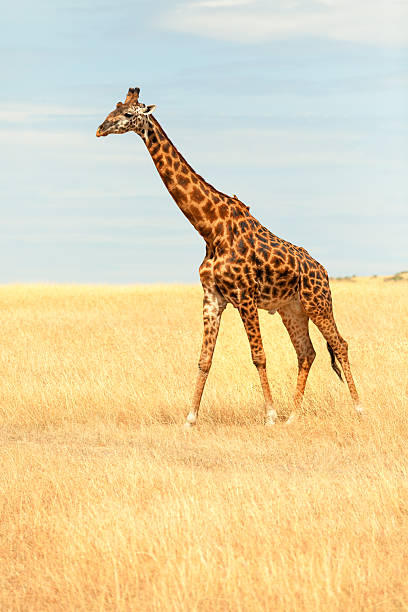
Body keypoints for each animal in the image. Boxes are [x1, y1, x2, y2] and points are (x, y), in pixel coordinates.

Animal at [95, 87, 360, 426]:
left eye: (129, 114)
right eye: (114, 107)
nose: (100, 128)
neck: (210, 229)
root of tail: (323, 271)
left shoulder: (245, 295)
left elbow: (258, 355)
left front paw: (270, 415)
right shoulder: (212, 297)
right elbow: (204, 359)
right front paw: (190, 419)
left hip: (318, 301)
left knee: (340, 344)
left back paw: (357, 408)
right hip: (292, 308)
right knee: (307, 352)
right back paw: (293, 416)